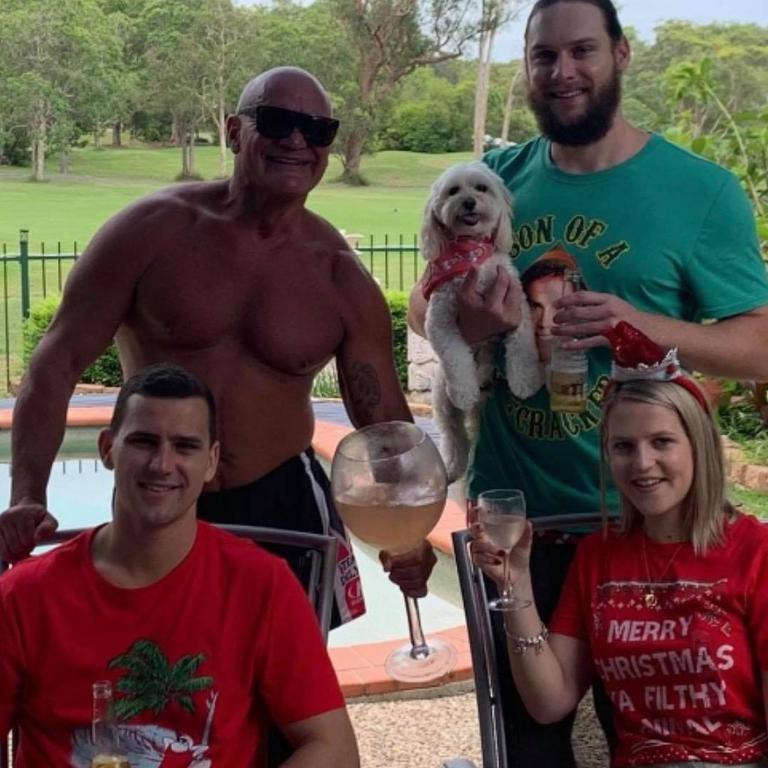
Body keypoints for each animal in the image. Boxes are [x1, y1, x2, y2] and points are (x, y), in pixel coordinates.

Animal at [424, 160, 544, 480]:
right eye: (453, 191)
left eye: (481, 188)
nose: (468, 202)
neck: (471, 255)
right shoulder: (440, 321)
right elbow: (455, 356)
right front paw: (465, 390)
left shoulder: (517, 308)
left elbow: (522, 349)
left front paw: (525, 382)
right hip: (442, 398)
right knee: (455, 436)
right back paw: (452, 466)